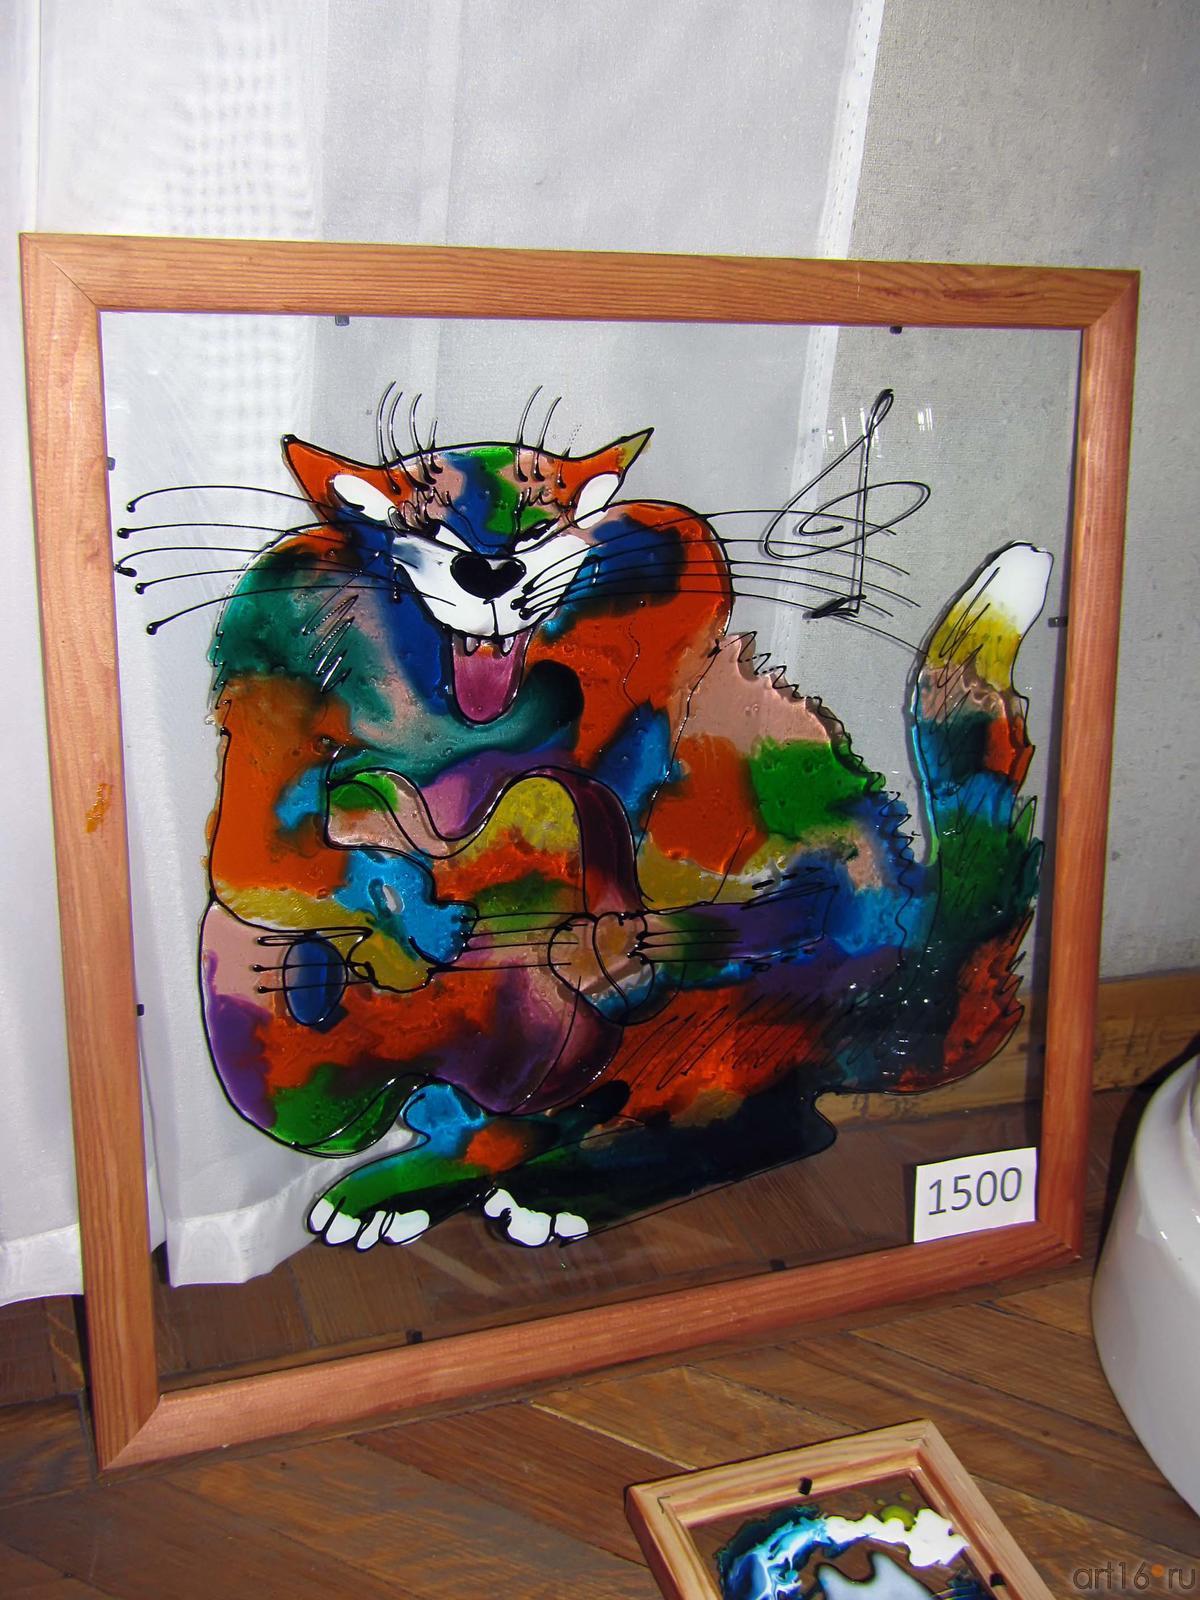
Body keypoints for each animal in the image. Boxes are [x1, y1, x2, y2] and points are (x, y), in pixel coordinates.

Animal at [183, 393, 1050, 1250]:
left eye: (541, 523)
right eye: (422, 523)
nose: (490, 567)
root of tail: (884, 993)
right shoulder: (270, 695)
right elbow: (251, 865)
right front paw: (415, 924)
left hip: (750, 1010)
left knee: (767, 1118)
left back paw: (559, 1183)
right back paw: (420, 1180)